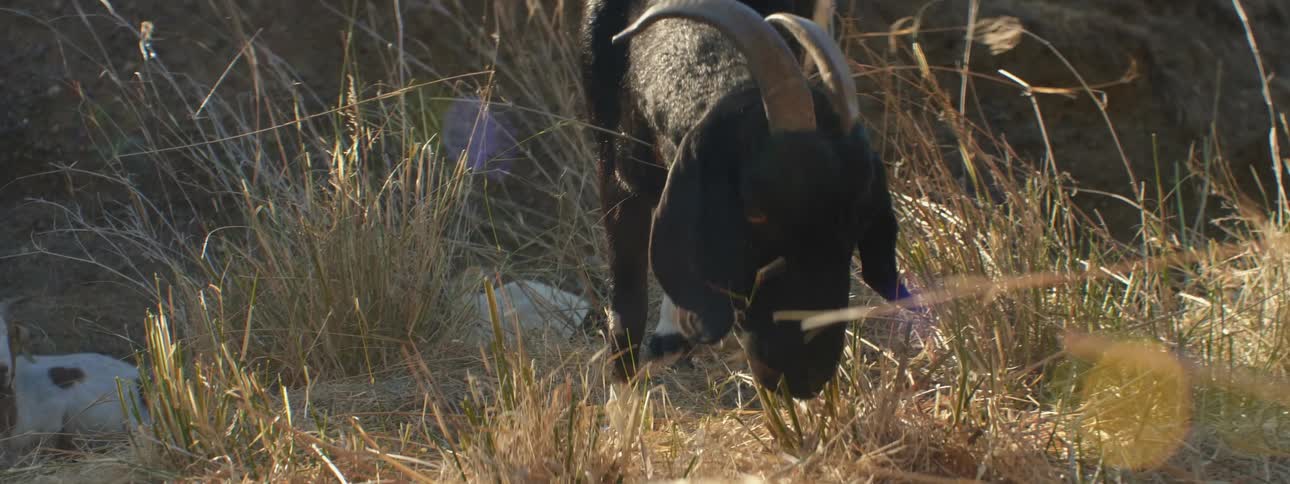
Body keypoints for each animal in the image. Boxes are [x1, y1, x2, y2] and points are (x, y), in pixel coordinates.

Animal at [580, 0, 915, 398]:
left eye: (860, 225)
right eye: (756, 213)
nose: (804, 375)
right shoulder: (612, 164)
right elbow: (627, 308)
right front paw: (622, 401)